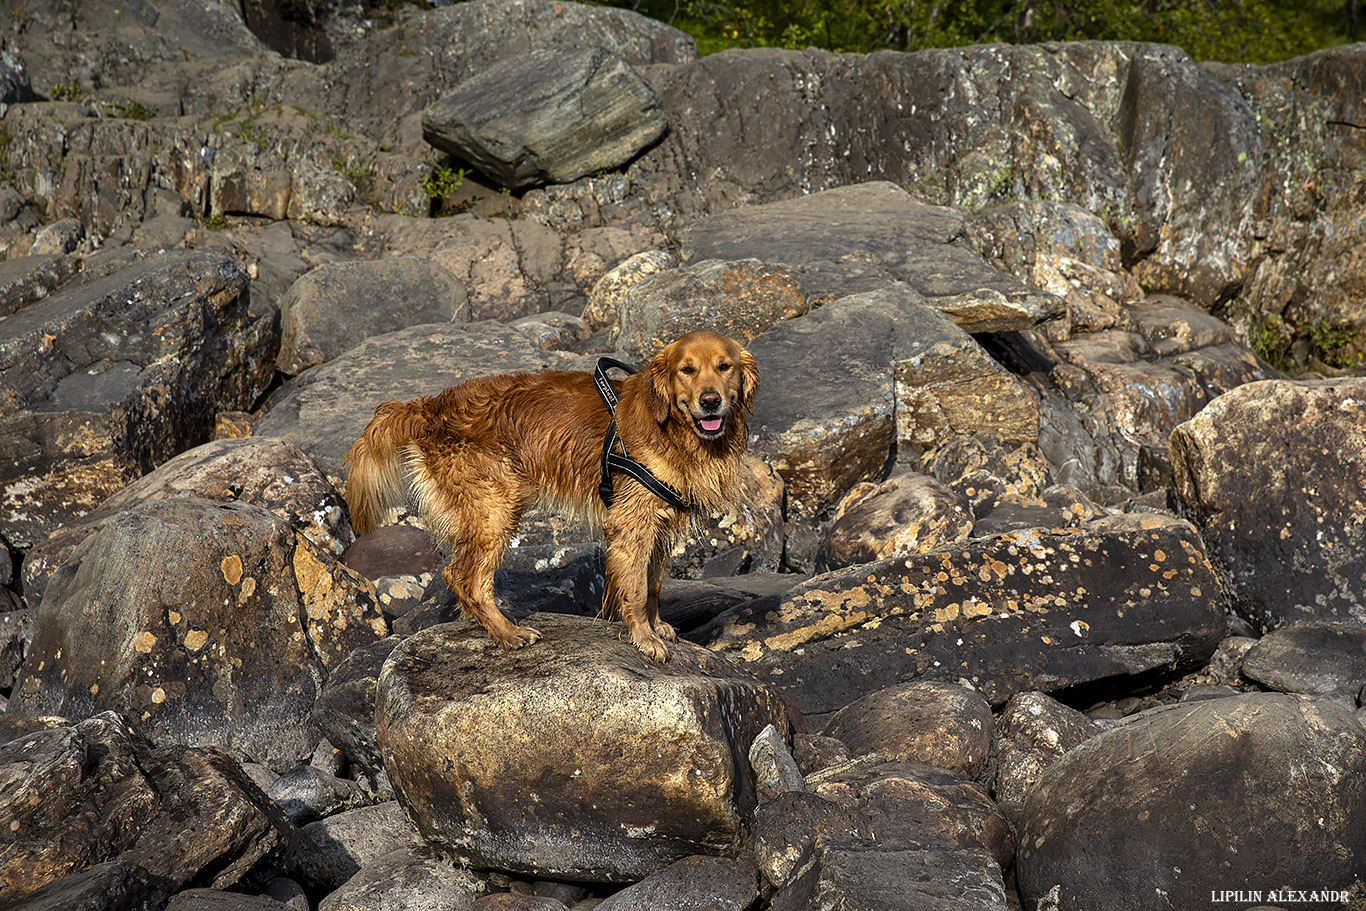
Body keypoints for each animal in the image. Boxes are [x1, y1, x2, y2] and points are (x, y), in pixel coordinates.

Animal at [344, 331, 759, 658]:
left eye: (724, 366)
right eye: (686, 370)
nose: (710, 400)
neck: (673, 429)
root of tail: (428, 407)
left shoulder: (662, 521)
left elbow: (653, 582)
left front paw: (658, 627)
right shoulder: (632, 521)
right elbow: (637, 588)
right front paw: (644, 638)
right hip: (496, 509)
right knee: (465, 578)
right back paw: (508, 633)